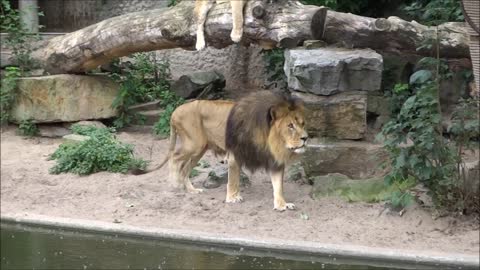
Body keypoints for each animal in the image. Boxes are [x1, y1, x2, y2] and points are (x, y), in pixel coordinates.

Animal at [146, 90, 310, 211]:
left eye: (302, 124)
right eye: (290, 126)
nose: (305, 138)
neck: (269, 140)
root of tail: (175, 110)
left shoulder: (274, 161)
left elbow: (278, 186)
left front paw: (282, 204)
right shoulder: (234, 155)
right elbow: (233, 180)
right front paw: (232, 198)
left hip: (200, 149)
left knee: (185, 168)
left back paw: (192, 190)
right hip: (194, 144)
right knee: (174, 157)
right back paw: (175, 184)